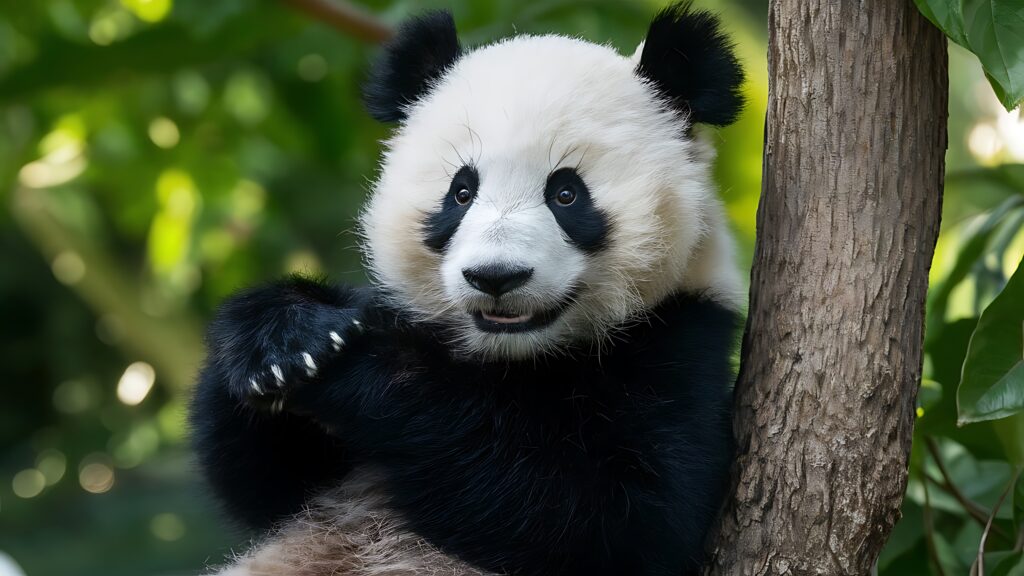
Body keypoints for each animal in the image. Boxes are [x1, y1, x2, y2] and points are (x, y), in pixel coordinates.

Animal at [191, 2, 745, 575]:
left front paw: (363, 365)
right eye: (461, 192)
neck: (511, 357)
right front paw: (286, 340)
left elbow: (614, 514)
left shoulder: (679, 347)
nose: (495, 276)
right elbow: (261, 483)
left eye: (567, 194)